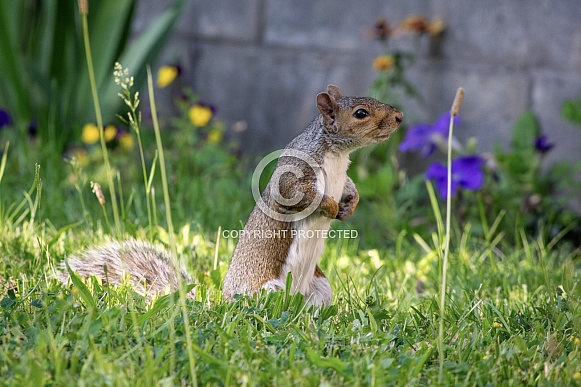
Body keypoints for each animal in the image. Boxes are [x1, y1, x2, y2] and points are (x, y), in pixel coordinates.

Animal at [60, 85, 404, 306]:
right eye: (361, 113)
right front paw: (330, 206)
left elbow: (350, 188)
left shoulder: (342, 176)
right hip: (268, 290)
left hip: (321, 288)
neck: (336, 154)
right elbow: (297, 194)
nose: (399, 116)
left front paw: (350, 205)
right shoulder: (293, 175)